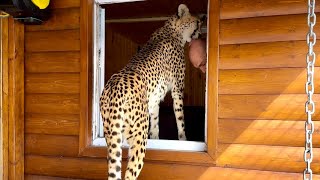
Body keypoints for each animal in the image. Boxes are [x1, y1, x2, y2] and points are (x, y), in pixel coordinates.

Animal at [100, 3, 204, 179]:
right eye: (196, 22)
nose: (201, 32)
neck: (172, 30)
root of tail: (114, 86)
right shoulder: (177, 89)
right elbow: (180, 118)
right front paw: (183, 139)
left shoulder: (154, 98)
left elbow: (155, 121)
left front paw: (156, 137)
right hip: (138, 137)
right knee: (130, 173)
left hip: (112, 138)